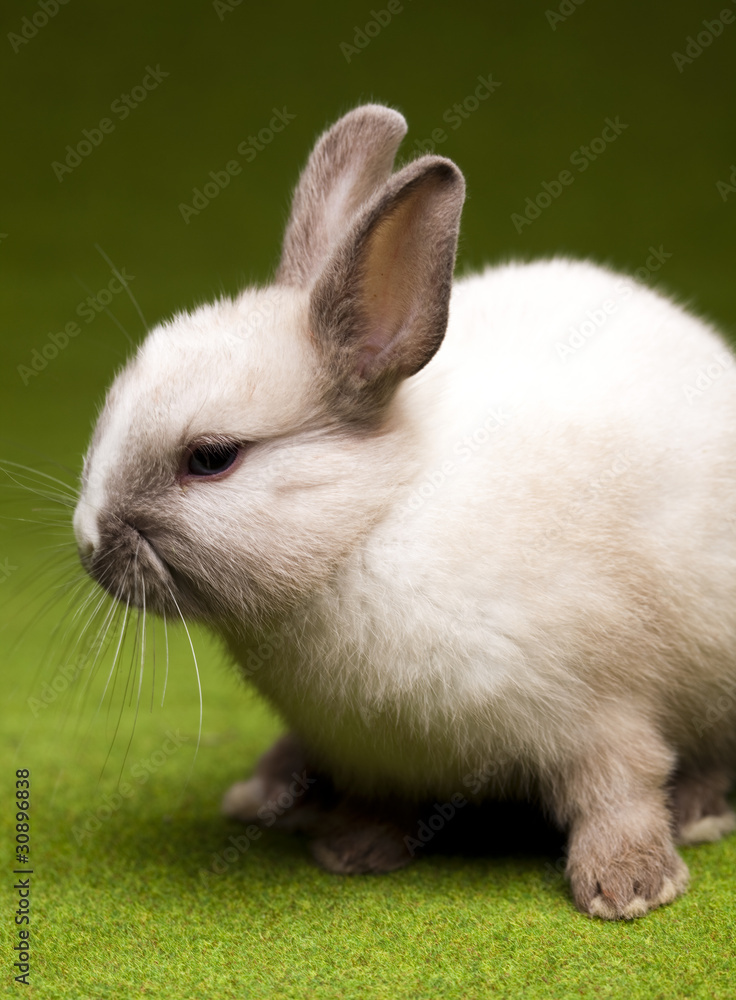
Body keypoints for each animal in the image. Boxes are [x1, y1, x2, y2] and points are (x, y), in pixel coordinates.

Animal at [72, 103, 736, 920]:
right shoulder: (375, 749)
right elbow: (381, 802)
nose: (88, 543)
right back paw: (265, 794)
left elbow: (622, 786)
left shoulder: (602, 705)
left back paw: (700, 812)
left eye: (212, 457)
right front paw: (354, 851)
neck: (372, 522)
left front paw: (629, 888)